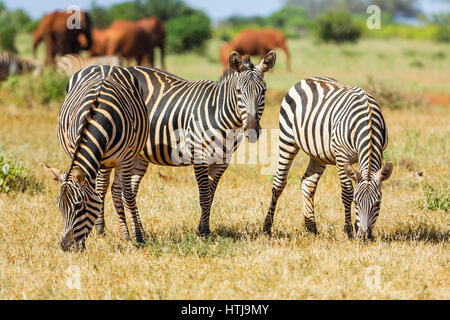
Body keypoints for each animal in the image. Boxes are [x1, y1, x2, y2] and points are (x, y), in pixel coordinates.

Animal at [42, 65, 149, 250]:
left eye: (79, 206)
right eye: (58, 205)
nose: (65, 247)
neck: (99, 121)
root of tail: (106, 65)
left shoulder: (126, 159)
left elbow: (128, 195)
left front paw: (136, 237)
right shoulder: (77, 150)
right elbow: (98, 191)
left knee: (115, 189)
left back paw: (124, 234)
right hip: (103, 161)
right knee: (103, 187)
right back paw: (101, 230)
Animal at [94, 50, 278, 238]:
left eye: (263, 91)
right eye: (239, 91)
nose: (252, 129)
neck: (221, 114)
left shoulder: (222, 161)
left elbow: (211, 196)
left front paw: (202, 227)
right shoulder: (199, 156)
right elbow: (204, 196)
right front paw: (204, 232)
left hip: (138, 154)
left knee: (125, 189)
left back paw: (138, 231)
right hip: (113, 144)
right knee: (103, 184)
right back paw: (101, 229)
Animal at [262, 76, 392, 239]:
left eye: (378, 203)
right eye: (356, 202)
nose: (363, 236)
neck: (368, 123)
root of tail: (305, 79)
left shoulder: (379, 152)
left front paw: (356, 228)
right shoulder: (341, 155)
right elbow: (347, 192)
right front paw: (349, 231)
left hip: (318, 154)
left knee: (308, 183)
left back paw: (311, 228)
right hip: (287, 139)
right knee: (279, 182)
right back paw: (267, 227)